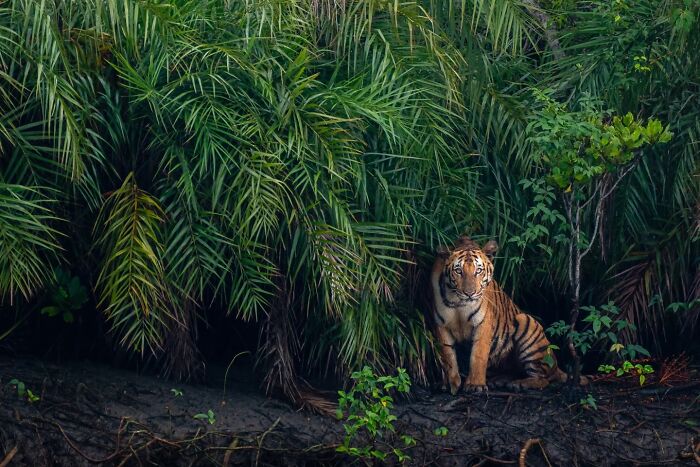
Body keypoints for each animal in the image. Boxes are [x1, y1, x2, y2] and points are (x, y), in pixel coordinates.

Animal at [431, 236, 576, 394]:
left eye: (478, 271)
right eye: (458, 271)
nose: (470, 293)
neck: (459, 303)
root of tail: (556, 366)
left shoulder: (483, 323)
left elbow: (478, 355)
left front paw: (475, 385)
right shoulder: (441, 325)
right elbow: (447, 356)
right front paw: (450, 384)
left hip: (526, 322)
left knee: (544, 379)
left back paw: (519, 384)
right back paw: (499, 381)